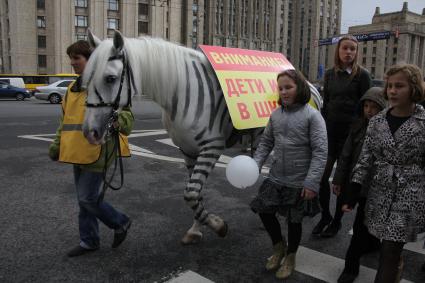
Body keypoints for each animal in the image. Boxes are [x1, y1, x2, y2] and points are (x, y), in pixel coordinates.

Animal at [81, 30, 320, 245]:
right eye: (86, 78)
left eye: (110, 78)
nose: (89, 133)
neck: (181, 93)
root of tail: (309, 83)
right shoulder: (188, 150)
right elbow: (196, 194)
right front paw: (196, 229)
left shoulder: (211, 147)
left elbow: (190, 193)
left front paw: (218, 225)